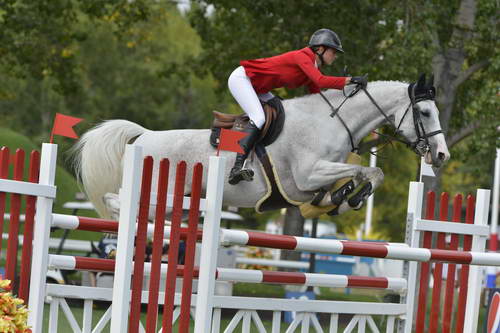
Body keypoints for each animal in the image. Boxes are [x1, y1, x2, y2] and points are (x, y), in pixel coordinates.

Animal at [73, 75, 450, 220]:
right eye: (425, 112)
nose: (442, 155)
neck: (331, 120)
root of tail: (143, 136)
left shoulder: (315, 181)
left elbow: (356, 177)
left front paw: (342, 199)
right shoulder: (307, 174)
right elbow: (368, 169)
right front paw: (353, 196)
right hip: (154, 191)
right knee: (116, 200)